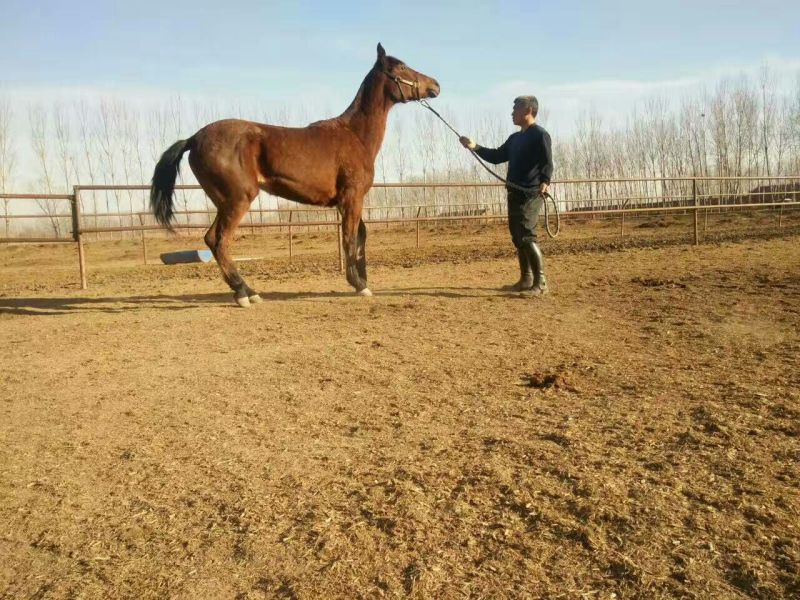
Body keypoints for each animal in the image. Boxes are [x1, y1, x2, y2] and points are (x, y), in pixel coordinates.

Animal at [150, 43, 440, 307]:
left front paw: (363, 280)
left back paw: (248, 291)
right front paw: (359, 285)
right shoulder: (352, 198)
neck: (354, 136)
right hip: (237, 200)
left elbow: (361, 236)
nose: (435, 85)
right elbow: (349, 238)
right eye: (400, 66)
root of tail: (195, 138)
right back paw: (244, 293)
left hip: (225, 202)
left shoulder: (348, 202)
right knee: (218, 241)